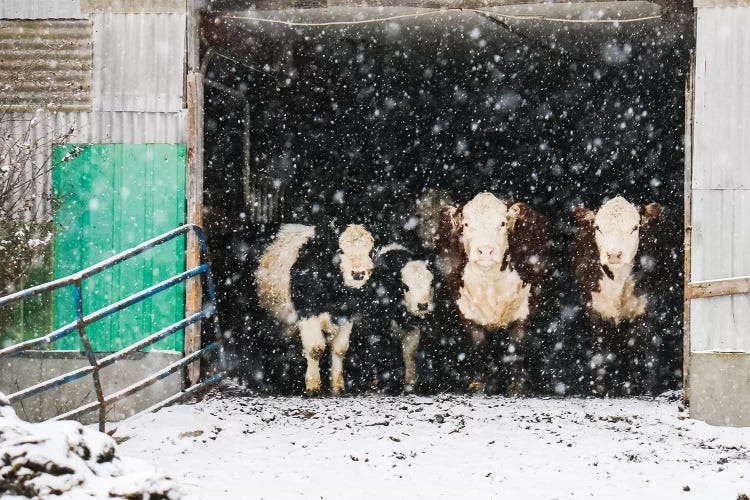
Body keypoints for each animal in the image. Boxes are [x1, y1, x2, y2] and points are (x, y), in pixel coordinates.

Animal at [258, 225, 376, 396]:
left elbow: (340, 349)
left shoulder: (348, 315)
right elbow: (315, 349)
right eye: (340, 250)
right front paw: (313, 385)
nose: (358, 273)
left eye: (370, 250)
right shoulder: (307, 313)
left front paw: (337, 385)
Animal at [434, 192, 552, 394]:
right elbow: (479, 344)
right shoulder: (465, 308)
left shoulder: (525, 307)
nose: (485, 251)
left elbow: (515, 344)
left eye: (502, 223)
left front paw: (517, 384)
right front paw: (478, 383)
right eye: (466, 224)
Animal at [572, 195, 668, 394]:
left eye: (635, 227)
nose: (614, 254)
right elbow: (601, 355)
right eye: (598, 227)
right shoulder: (596, 310)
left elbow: (640, 355)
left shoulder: (645, 310)